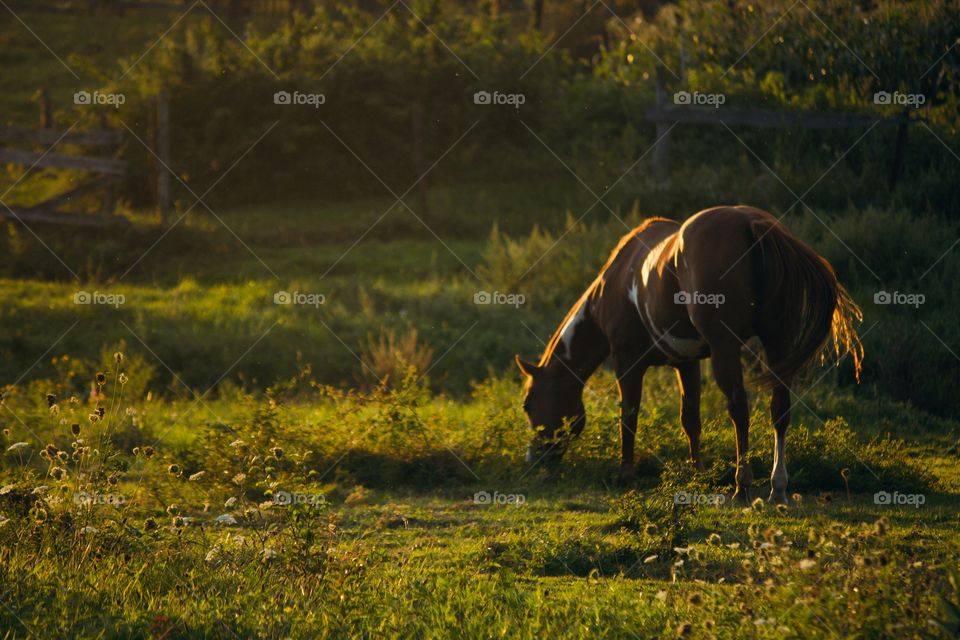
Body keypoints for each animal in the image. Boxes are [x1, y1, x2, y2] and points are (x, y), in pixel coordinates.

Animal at [516, 205, 864, 500]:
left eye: (527, 404)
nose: (533, 460)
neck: (617, 282)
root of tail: (754, 224)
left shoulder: (627, 363)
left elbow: (628, 416)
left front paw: (626, 475)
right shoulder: (687, 364)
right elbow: (690, 419)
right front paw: (698, 473)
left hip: (727, 349)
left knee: (739, 408)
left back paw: (742, 486)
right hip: (777, 344)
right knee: (780, 410)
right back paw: (777, 488)